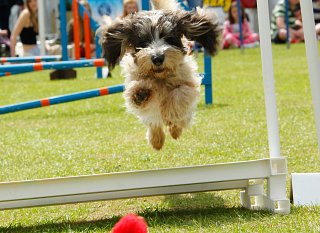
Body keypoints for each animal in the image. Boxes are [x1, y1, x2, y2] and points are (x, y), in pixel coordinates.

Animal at [101, 0, 221, 149]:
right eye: (144, 41)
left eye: (168, 38)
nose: (157, 58)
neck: (160, 77)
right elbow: (137, 91)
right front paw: (140, 92)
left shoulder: (189, 84)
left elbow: (179, 93)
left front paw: (169, 112)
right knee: (154, 123)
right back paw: (156, 140)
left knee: (181, 120)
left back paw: (174, 129)